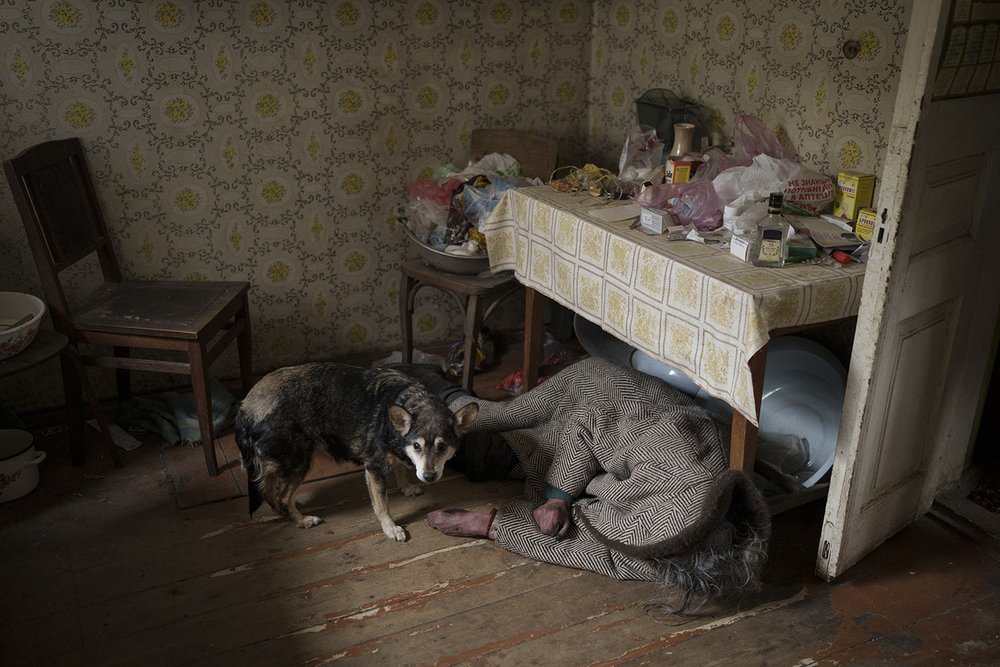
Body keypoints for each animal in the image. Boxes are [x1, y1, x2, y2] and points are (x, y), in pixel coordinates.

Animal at [238, 362, 480, 540]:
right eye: (417, 446)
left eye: (443, 446)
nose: (429, 476)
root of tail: (245, 406)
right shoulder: (374, 467)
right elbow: (382, 504)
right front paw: (390, 528)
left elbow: (400, 468)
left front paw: (406, 486)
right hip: (299, 460)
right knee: (280, 495)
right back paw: (302, 520)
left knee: (268, 490)